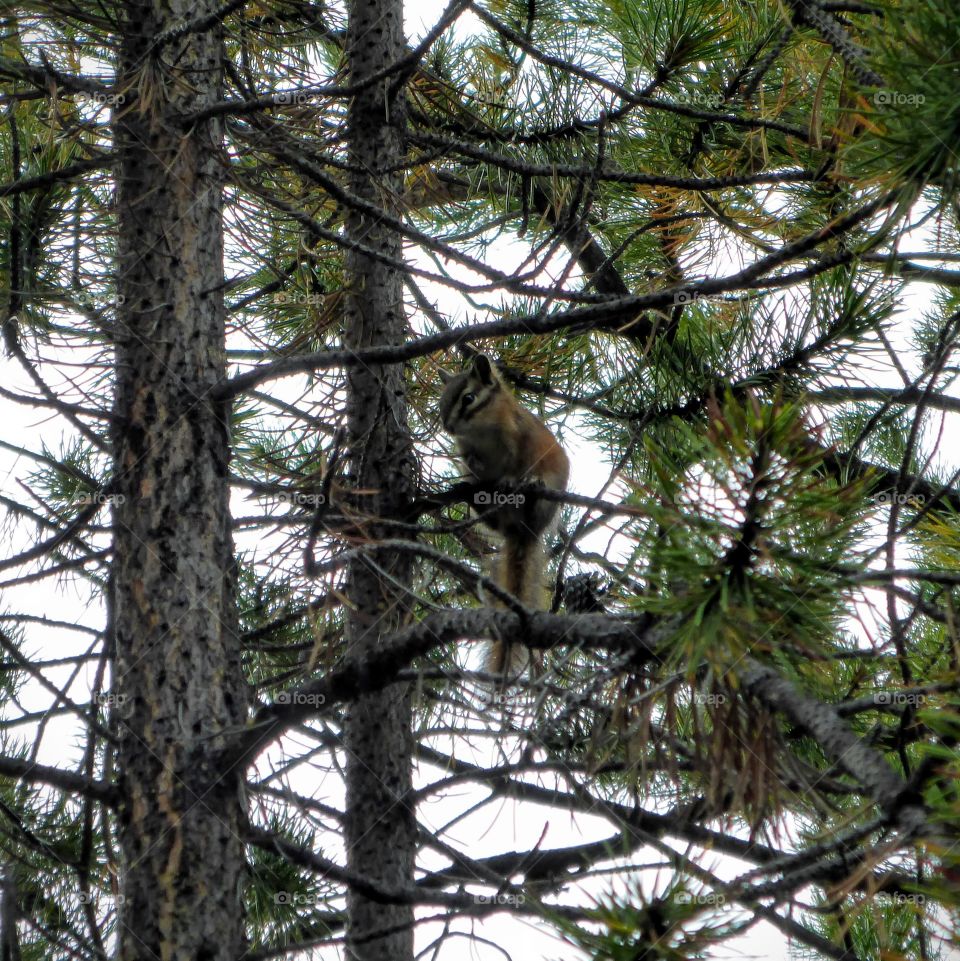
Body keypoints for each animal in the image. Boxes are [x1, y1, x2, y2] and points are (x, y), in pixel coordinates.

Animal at [438, 353, 570, 676]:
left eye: (468, 398)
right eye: (442, 400)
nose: (448, 427)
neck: (481, 431)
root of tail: (521, 532)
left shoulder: (519, 443)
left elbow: (513, 466)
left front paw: (511, 480)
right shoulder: (467, 450)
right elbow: (473, 463)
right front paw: (472, 466)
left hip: (547, 496)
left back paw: (533, 489)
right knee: (492, 520)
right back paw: (471, 494)